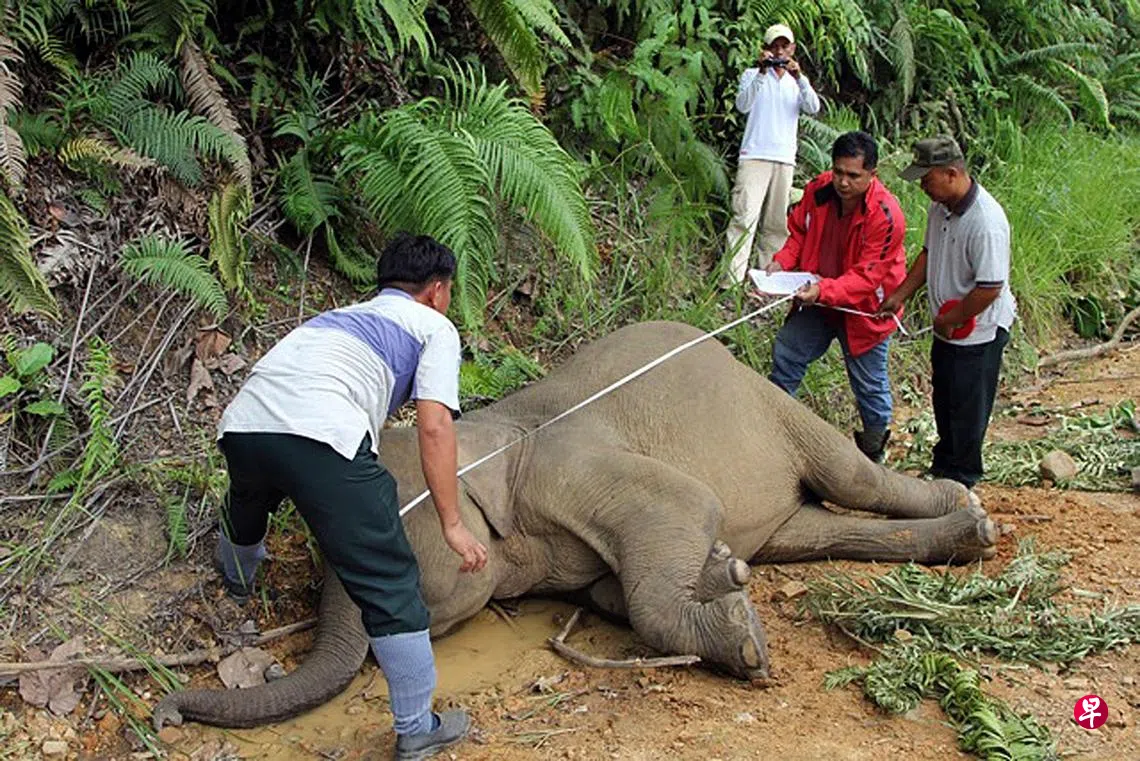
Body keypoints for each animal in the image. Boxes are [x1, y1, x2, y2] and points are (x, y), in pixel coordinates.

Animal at [153, 320, 998, 729]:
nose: (163, 711)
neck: (488, 437)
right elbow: (610, 592)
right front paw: (725, 580)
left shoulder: (572, 466)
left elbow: (687, 504)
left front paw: (742, 631)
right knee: (814, 530)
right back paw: (954, 537)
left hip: (768, 400)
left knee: (850, 475)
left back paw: (970, 514)